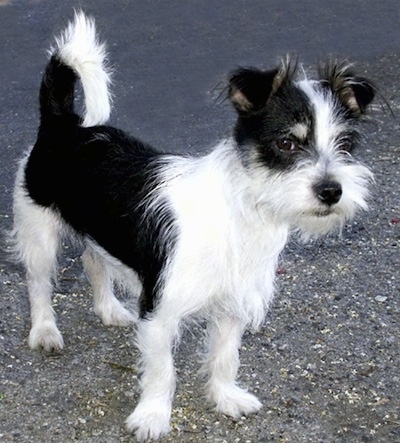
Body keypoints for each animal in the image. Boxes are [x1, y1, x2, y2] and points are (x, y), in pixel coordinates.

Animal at [10, 11, 376, 443]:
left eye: (346, 144)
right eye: (286, 143)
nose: (331, 190)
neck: (242, 214)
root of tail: (64, 125)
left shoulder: (232, 309)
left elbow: (224, 358)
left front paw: (225, 397)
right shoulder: (159, 312)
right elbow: (162, 371)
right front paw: (152, 416)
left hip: (97, 230)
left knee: (93, 261)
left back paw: (109, 309)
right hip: (39, 235)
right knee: (38, 283)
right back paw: (45, 331)